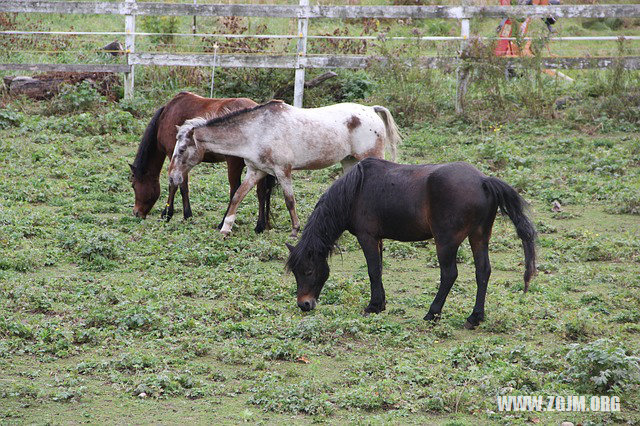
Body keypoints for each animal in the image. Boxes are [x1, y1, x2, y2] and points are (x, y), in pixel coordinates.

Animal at [129, 91, 274, 233]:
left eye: (134, 186)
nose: (136, 212)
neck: (165, 117)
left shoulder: (174, 157)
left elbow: (176, 186)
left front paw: (168, 214)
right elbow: (183, 187)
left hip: (234, 163)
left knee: (235, 190)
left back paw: (223, 223)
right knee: (261, 192)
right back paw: (260, 226)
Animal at [170, 101, 400, 238]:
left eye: (181, 150)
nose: (173, 177)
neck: (257, 131)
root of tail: (371, 110)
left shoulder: (283, 171)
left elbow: (290, 201)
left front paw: (295, 231)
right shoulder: (255, 171)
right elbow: (237, 196)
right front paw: (226, 228)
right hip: (350, 162)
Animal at [284, 159, 536, 330]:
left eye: (308, 270)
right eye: (295, 272)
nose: (304, 304)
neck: (356, 190)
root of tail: (483, 181)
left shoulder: (367, 237)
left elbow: (373, 271)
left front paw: (373, 306)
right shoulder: (378, 239)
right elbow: (379, 270)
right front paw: (381, 303)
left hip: (446, 242)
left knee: (449, 275)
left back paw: (432, 314)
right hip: (479, 236)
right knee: (482, 272)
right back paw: (475, 317)